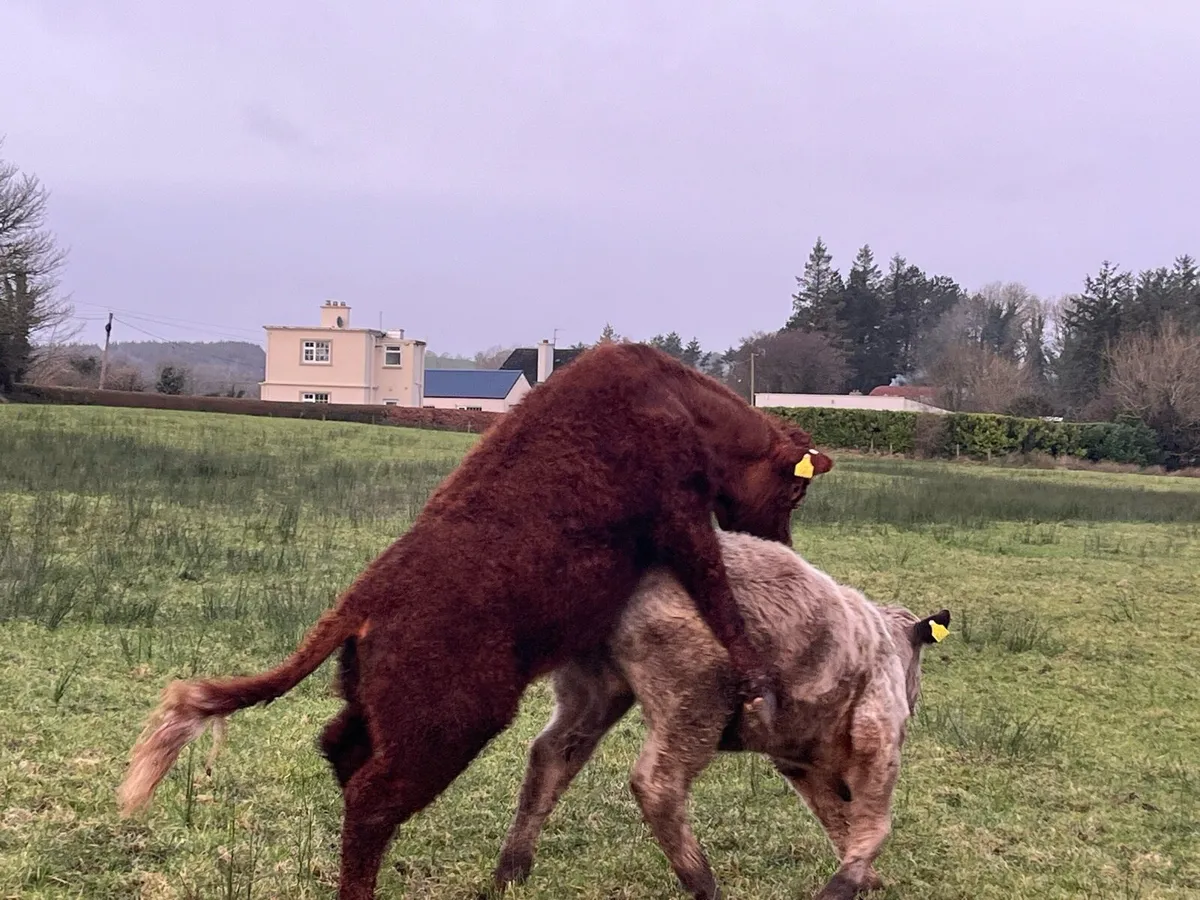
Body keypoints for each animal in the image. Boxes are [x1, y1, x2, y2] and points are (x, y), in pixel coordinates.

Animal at [116, 341, 834, 900]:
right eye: (796, 489)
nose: (786, 544)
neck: (677, 402)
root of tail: (362, 600)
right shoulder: (680, 517)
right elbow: (717, 594)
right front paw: (756, 676)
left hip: (385, 708)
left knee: (341, 751)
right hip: (453, 721)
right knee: (370, 797)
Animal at [494, 529, 950, 900]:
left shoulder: (799, 761)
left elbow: (838, 817)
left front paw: (865, 879)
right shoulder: (878, 741)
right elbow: (875, 824)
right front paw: (845, 885)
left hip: (594, 686)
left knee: (552, 755)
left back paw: (512, 871)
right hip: (694, 697)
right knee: (656, 784)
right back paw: (705, 884)